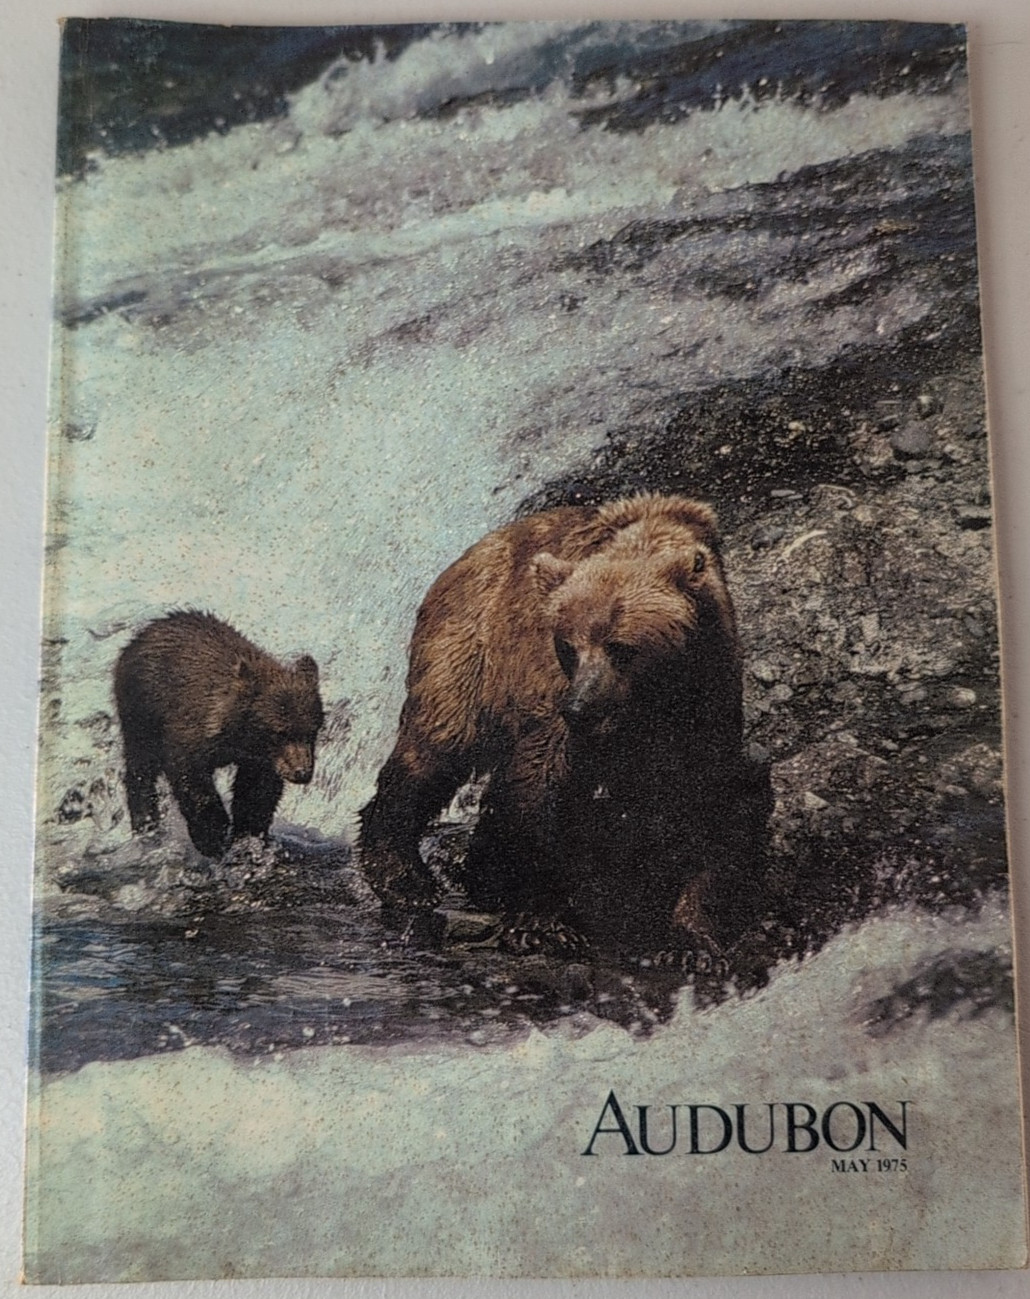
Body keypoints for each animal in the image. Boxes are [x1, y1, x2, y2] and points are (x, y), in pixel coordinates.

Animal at [114, 611, 325, 858]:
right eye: (278, 733)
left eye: (312, 731)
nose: (302, 772)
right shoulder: (188, 731)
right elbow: (189, 777)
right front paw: (212, 834)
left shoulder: (260, 759)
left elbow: (256, 792)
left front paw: (248, 835)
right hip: (140, 709)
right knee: (140, 767)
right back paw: (146, 825)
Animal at [359, 493, 771, 955]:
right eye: (568, 646)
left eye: (621, 647)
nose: (579, 706)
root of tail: (472, 551)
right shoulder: (550, 687)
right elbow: (542, 781)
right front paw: (542, 921)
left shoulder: (708, 684)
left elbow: (708, 796)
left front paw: (693, 938)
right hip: (469, 645)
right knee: (436, 746)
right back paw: (404, 876)